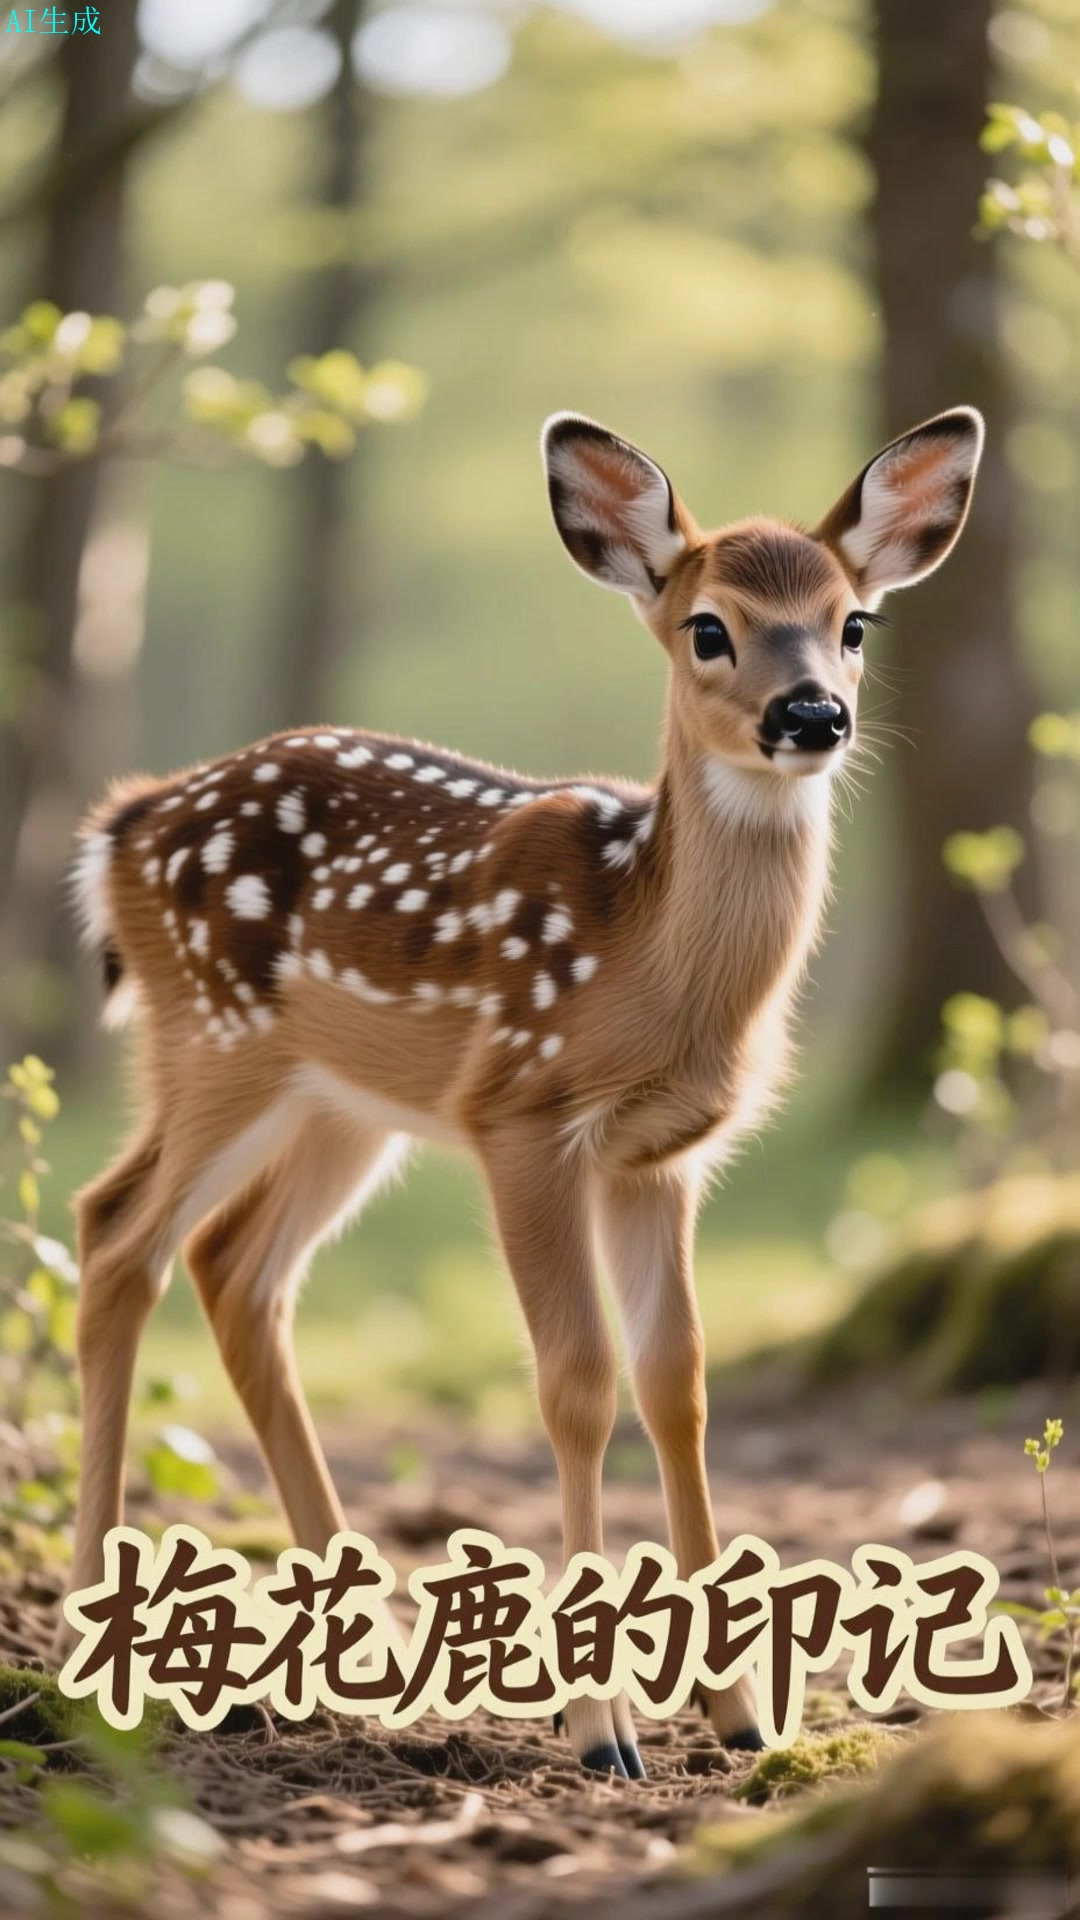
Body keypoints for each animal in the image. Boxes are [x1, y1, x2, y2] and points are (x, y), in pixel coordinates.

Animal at [61, 404, 983, 1776]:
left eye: (855, 622)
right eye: (709, 626)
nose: (813, 712)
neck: (647, 967)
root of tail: (116, 829)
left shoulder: (664, 1155)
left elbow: (678, 1384)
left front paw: (737, 1714)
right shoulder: (523, 1118)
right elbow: (578, 1382)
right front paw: (601, 1729)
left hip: (340, 1106)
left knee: (235, 1266)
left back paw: (368, 1643)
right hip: (213, 1040)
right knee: (117, 1233)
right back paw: (96, 1643)